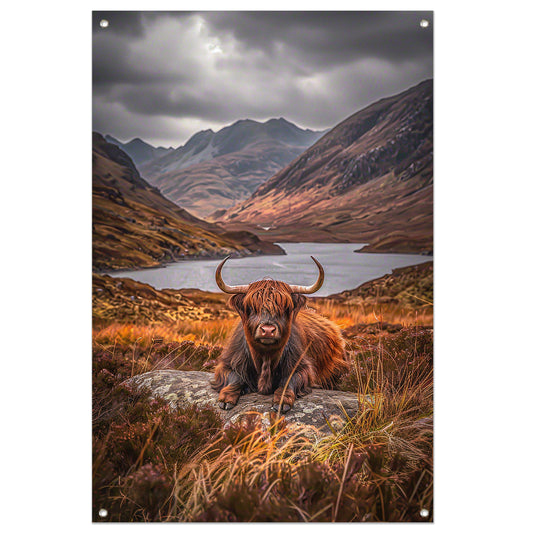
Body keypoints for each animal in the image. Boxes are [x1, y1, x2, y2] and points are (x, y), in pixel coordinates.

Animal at [210, 256, 348, 414]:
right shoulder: (228, 362)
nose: (268, 330)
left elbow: (288, 381)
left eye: (285, 307)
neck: (265, 357)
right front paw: (226, 399)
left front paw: (282, 402)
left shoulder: (302, 366)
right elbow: (234, 378)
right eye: (251, 307)